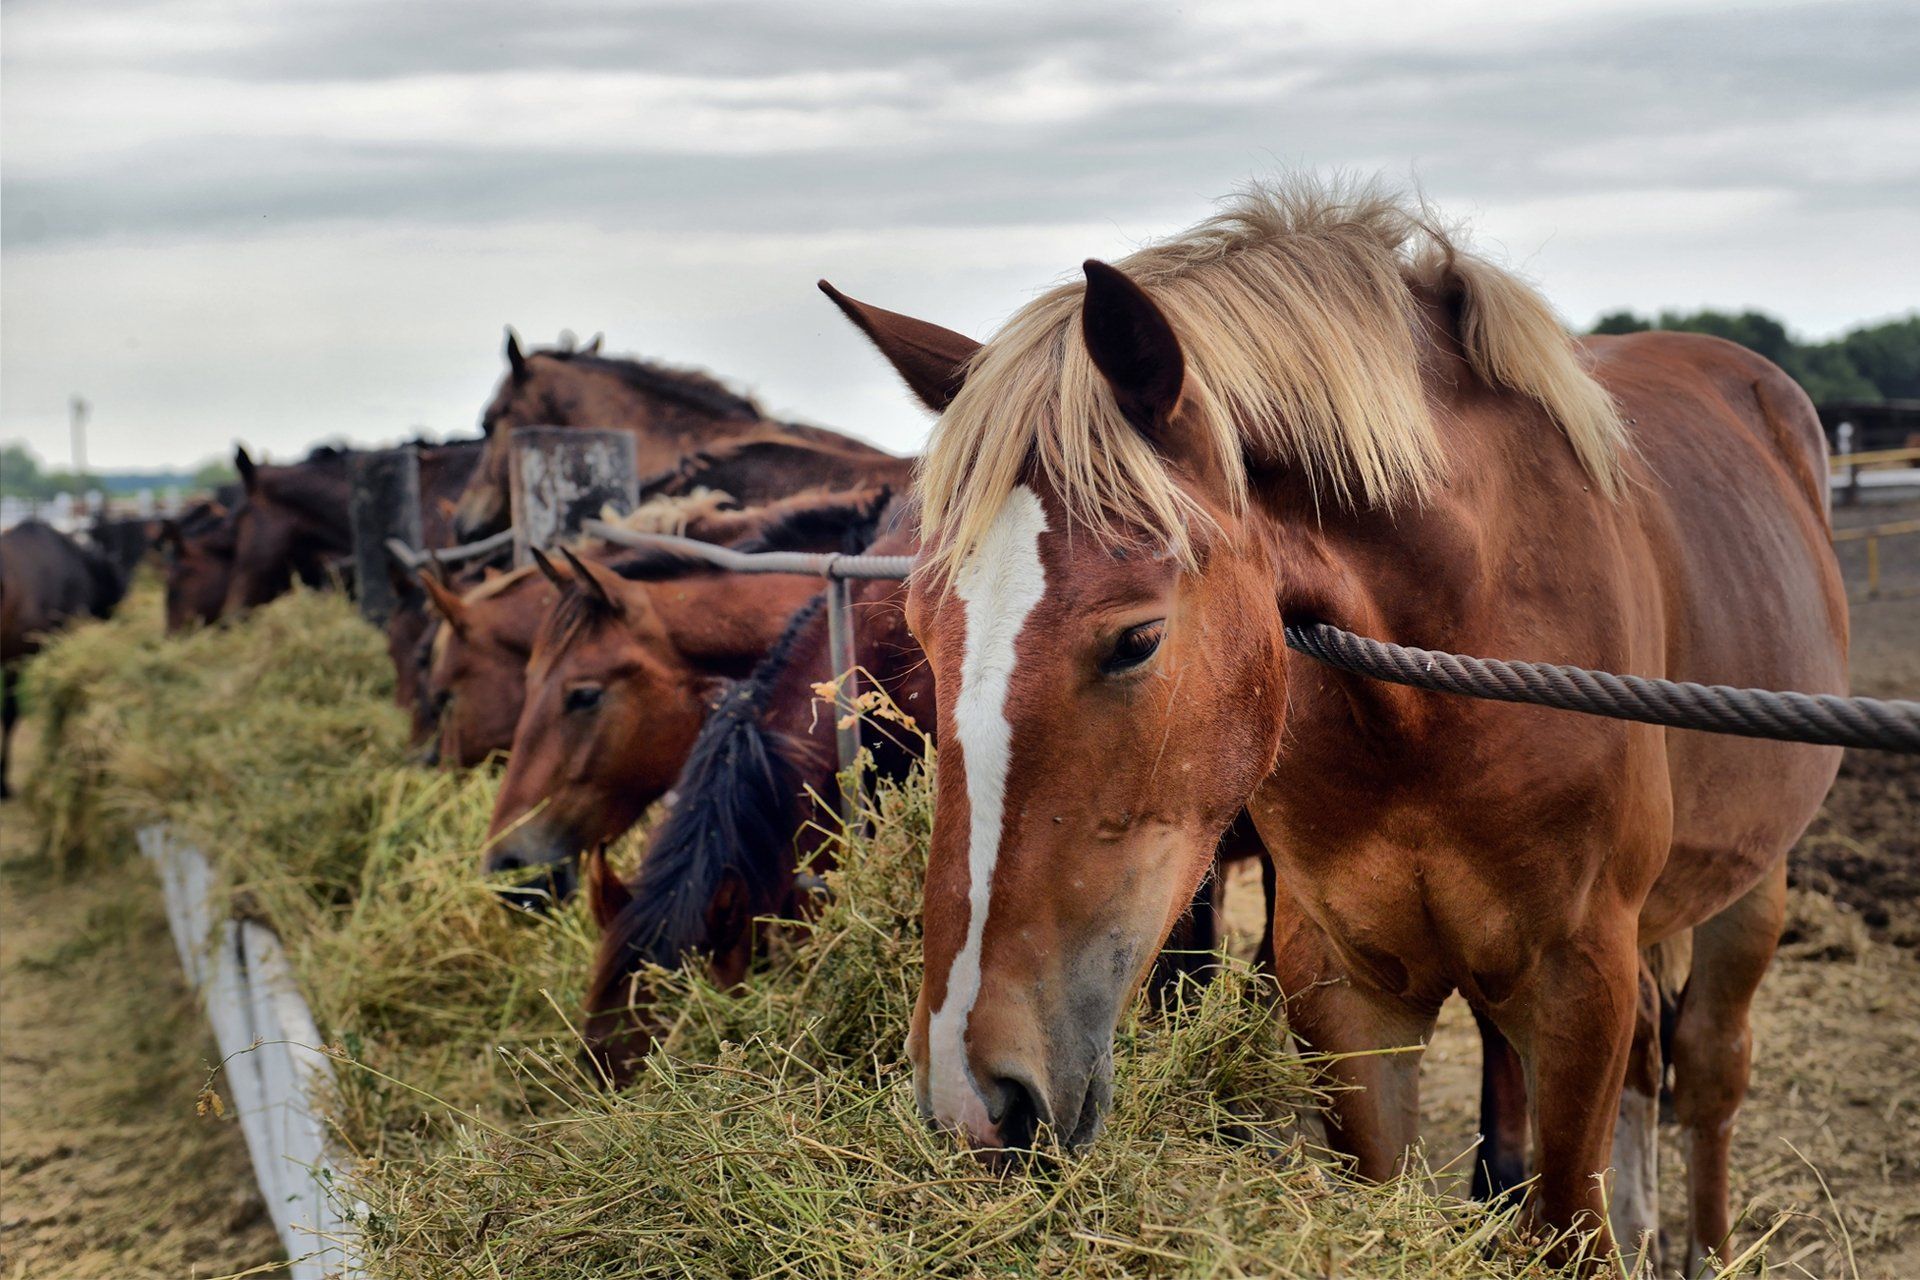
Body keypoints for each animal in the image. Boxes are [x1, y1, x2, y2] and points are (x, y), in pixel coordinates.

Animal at [822, 179, 1847, 1268]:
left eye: (1137, 638)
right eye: (922, 627)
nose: (971, 1096)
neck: (1443, 684)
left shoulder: (1579, 984)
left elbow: (1572, 1219)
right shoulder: (1346, 986)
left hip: (1753, 881)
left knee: (1708, 1069)